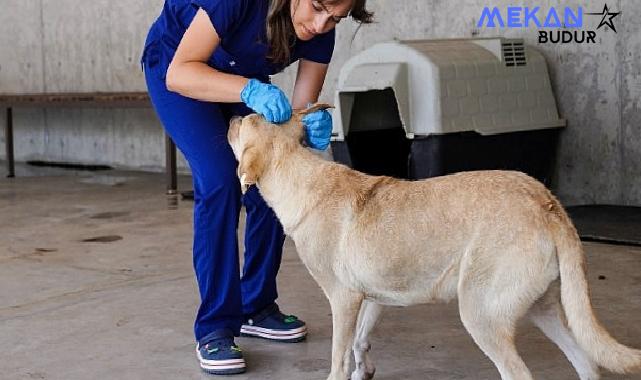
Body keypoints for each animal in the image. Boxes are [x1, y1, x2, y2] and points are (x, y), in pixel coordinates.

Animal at [226, 106, 640, 380]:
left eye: (246, 121)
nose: (230, 117)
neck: (302, 178)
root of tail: (546, 202)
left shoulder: (342, 300)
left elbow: (339, 356)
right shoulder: (373, 298)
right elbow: (361, 342)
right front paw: (364, 370)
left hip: (481, 315)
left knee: (520, 373)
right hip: (545, 310)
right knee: (587, 362)